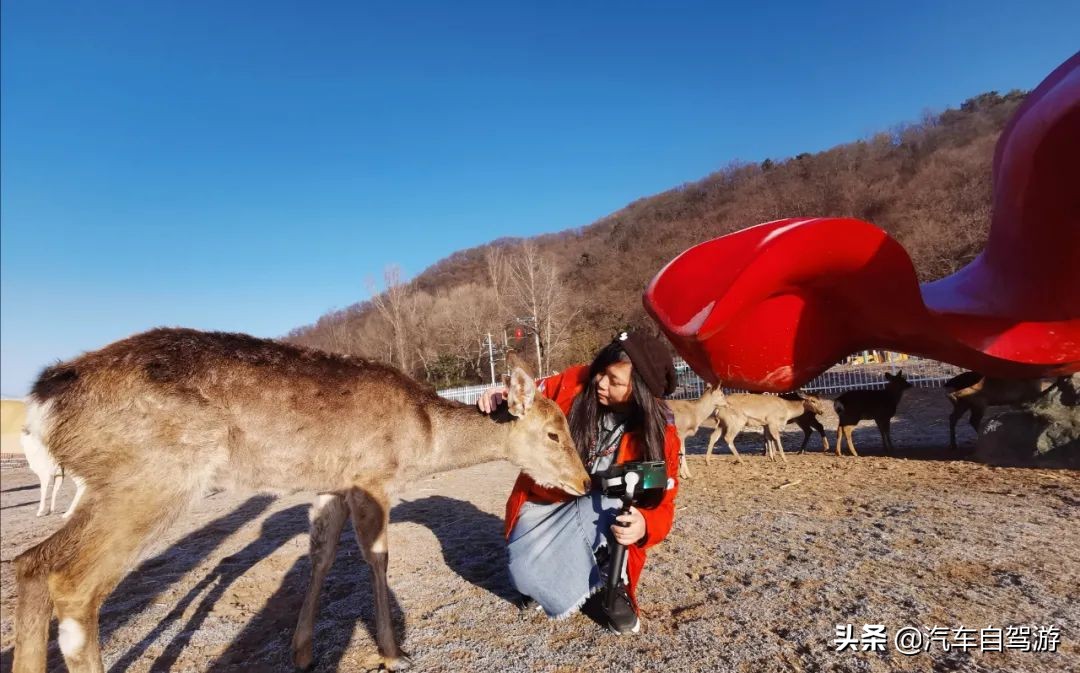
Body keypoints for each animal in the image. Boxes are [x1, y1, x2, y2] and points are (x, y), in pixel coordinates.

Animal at [12, 328, 591, 673]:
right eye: (554, 433)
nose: (585, 482)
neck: (422, 439)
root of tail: (41, 403)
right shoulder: (370, 476)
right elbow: (378, 559)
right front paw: (393, 653)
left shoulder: (329, 484)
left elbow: (321, 556)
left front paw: (304, 652)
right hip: (154, 476)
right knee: (74, 585)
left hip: (107, 484)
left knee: (30, 561)